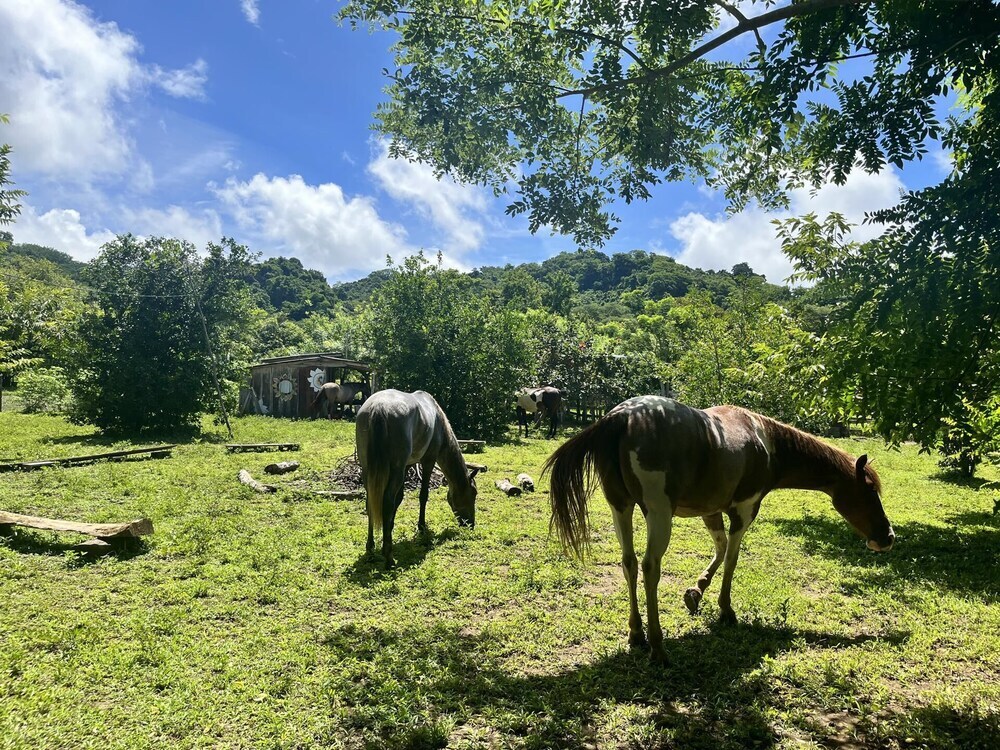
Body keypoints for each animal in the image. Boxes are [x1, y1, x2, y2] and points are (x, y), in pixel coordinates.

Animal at [356, 389, 483, 568]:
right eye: (473, 494)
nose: (470, 524)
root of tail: (379, 408)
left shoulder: (408, 465)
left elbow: (400, 498)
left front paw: (390, 528)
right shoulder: (428, 461)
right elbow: (423, 495)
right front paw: (421, 527)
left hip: (368, 469)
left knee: (370, 503)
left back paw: (370, 548)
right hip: (395, 470)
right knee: (387, 501)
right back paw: (389, 556)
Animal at [543, 395, 894, 663]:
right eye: (869, 491)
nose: (888, 537)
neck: (767, 443)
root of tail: (620, 417)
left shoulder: (711, 511)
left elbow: (720, 548)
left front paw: (696, 592)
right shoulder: (745, 510)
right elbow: (732, 559)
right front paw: (725, 610)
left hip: (621, 508)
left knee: (629, 563)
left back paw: (637, 633)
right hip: (658, 513)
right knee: (650, 566)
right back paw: (658, 646)